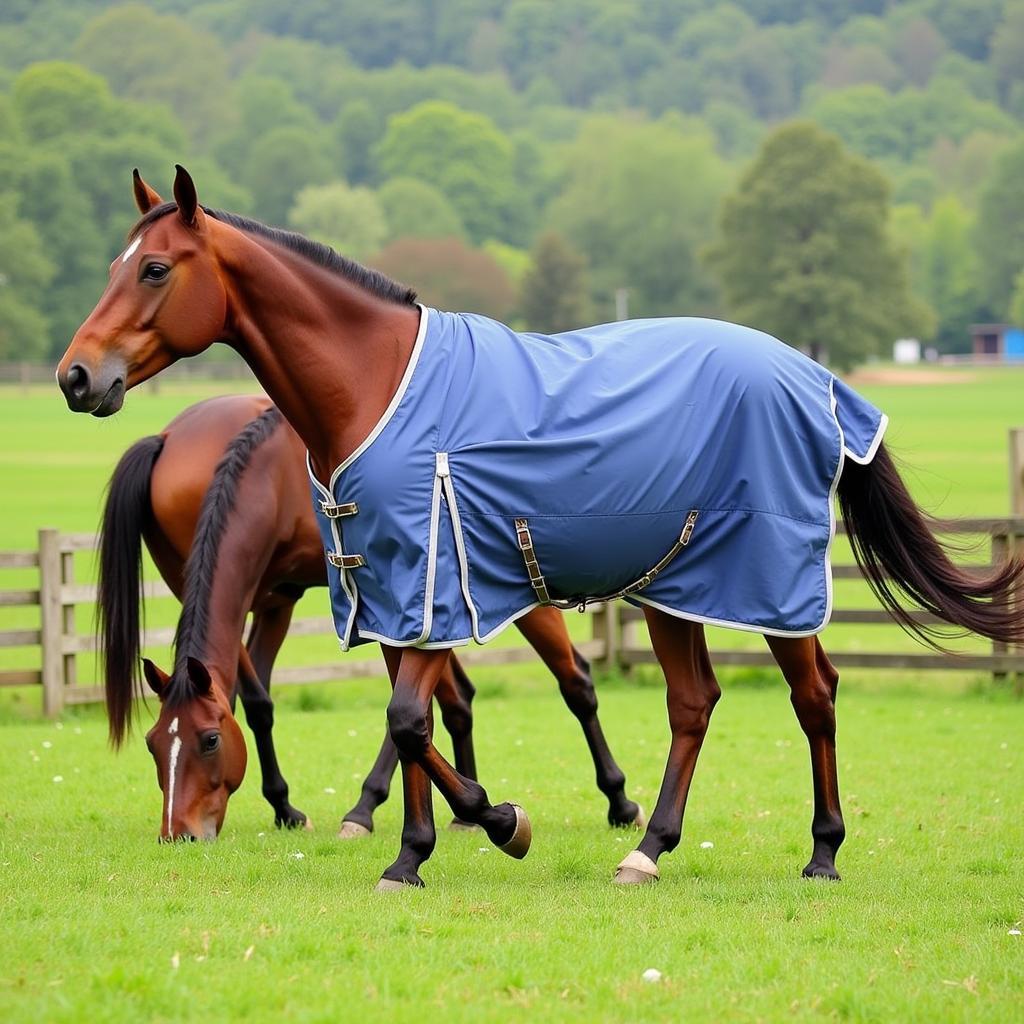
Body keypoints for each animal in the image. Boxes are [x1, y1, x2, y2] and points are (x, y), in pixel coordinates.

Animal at [97, 391, 638, 839]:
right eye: (151, 744)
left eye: (209, 741)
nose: (179, 832)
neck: (269, 477)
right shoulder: (273, 599)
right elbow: (254, 699)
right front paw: (285, 806)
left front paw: (349, 807)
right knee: (460, 697)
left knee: (575, 679)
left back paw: (619, 801)